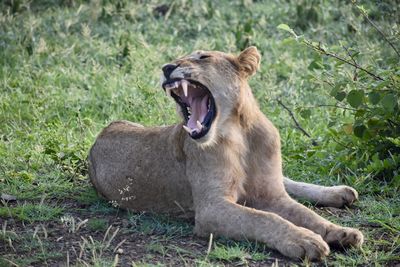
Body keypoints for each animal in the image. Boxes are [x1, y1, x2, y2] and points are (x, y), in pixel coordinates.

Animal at [89, 47, 364, 260]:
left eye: (203, 57)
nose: (167, 68)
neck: (239, 133)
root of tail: (106, 129)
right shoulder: (211, 208)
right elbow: (263, 218)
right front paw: (305, 240)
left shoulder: (272, 195)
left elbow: (306, 214)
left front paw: (341, 232)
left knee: (288, 182)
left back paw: (342, 193)